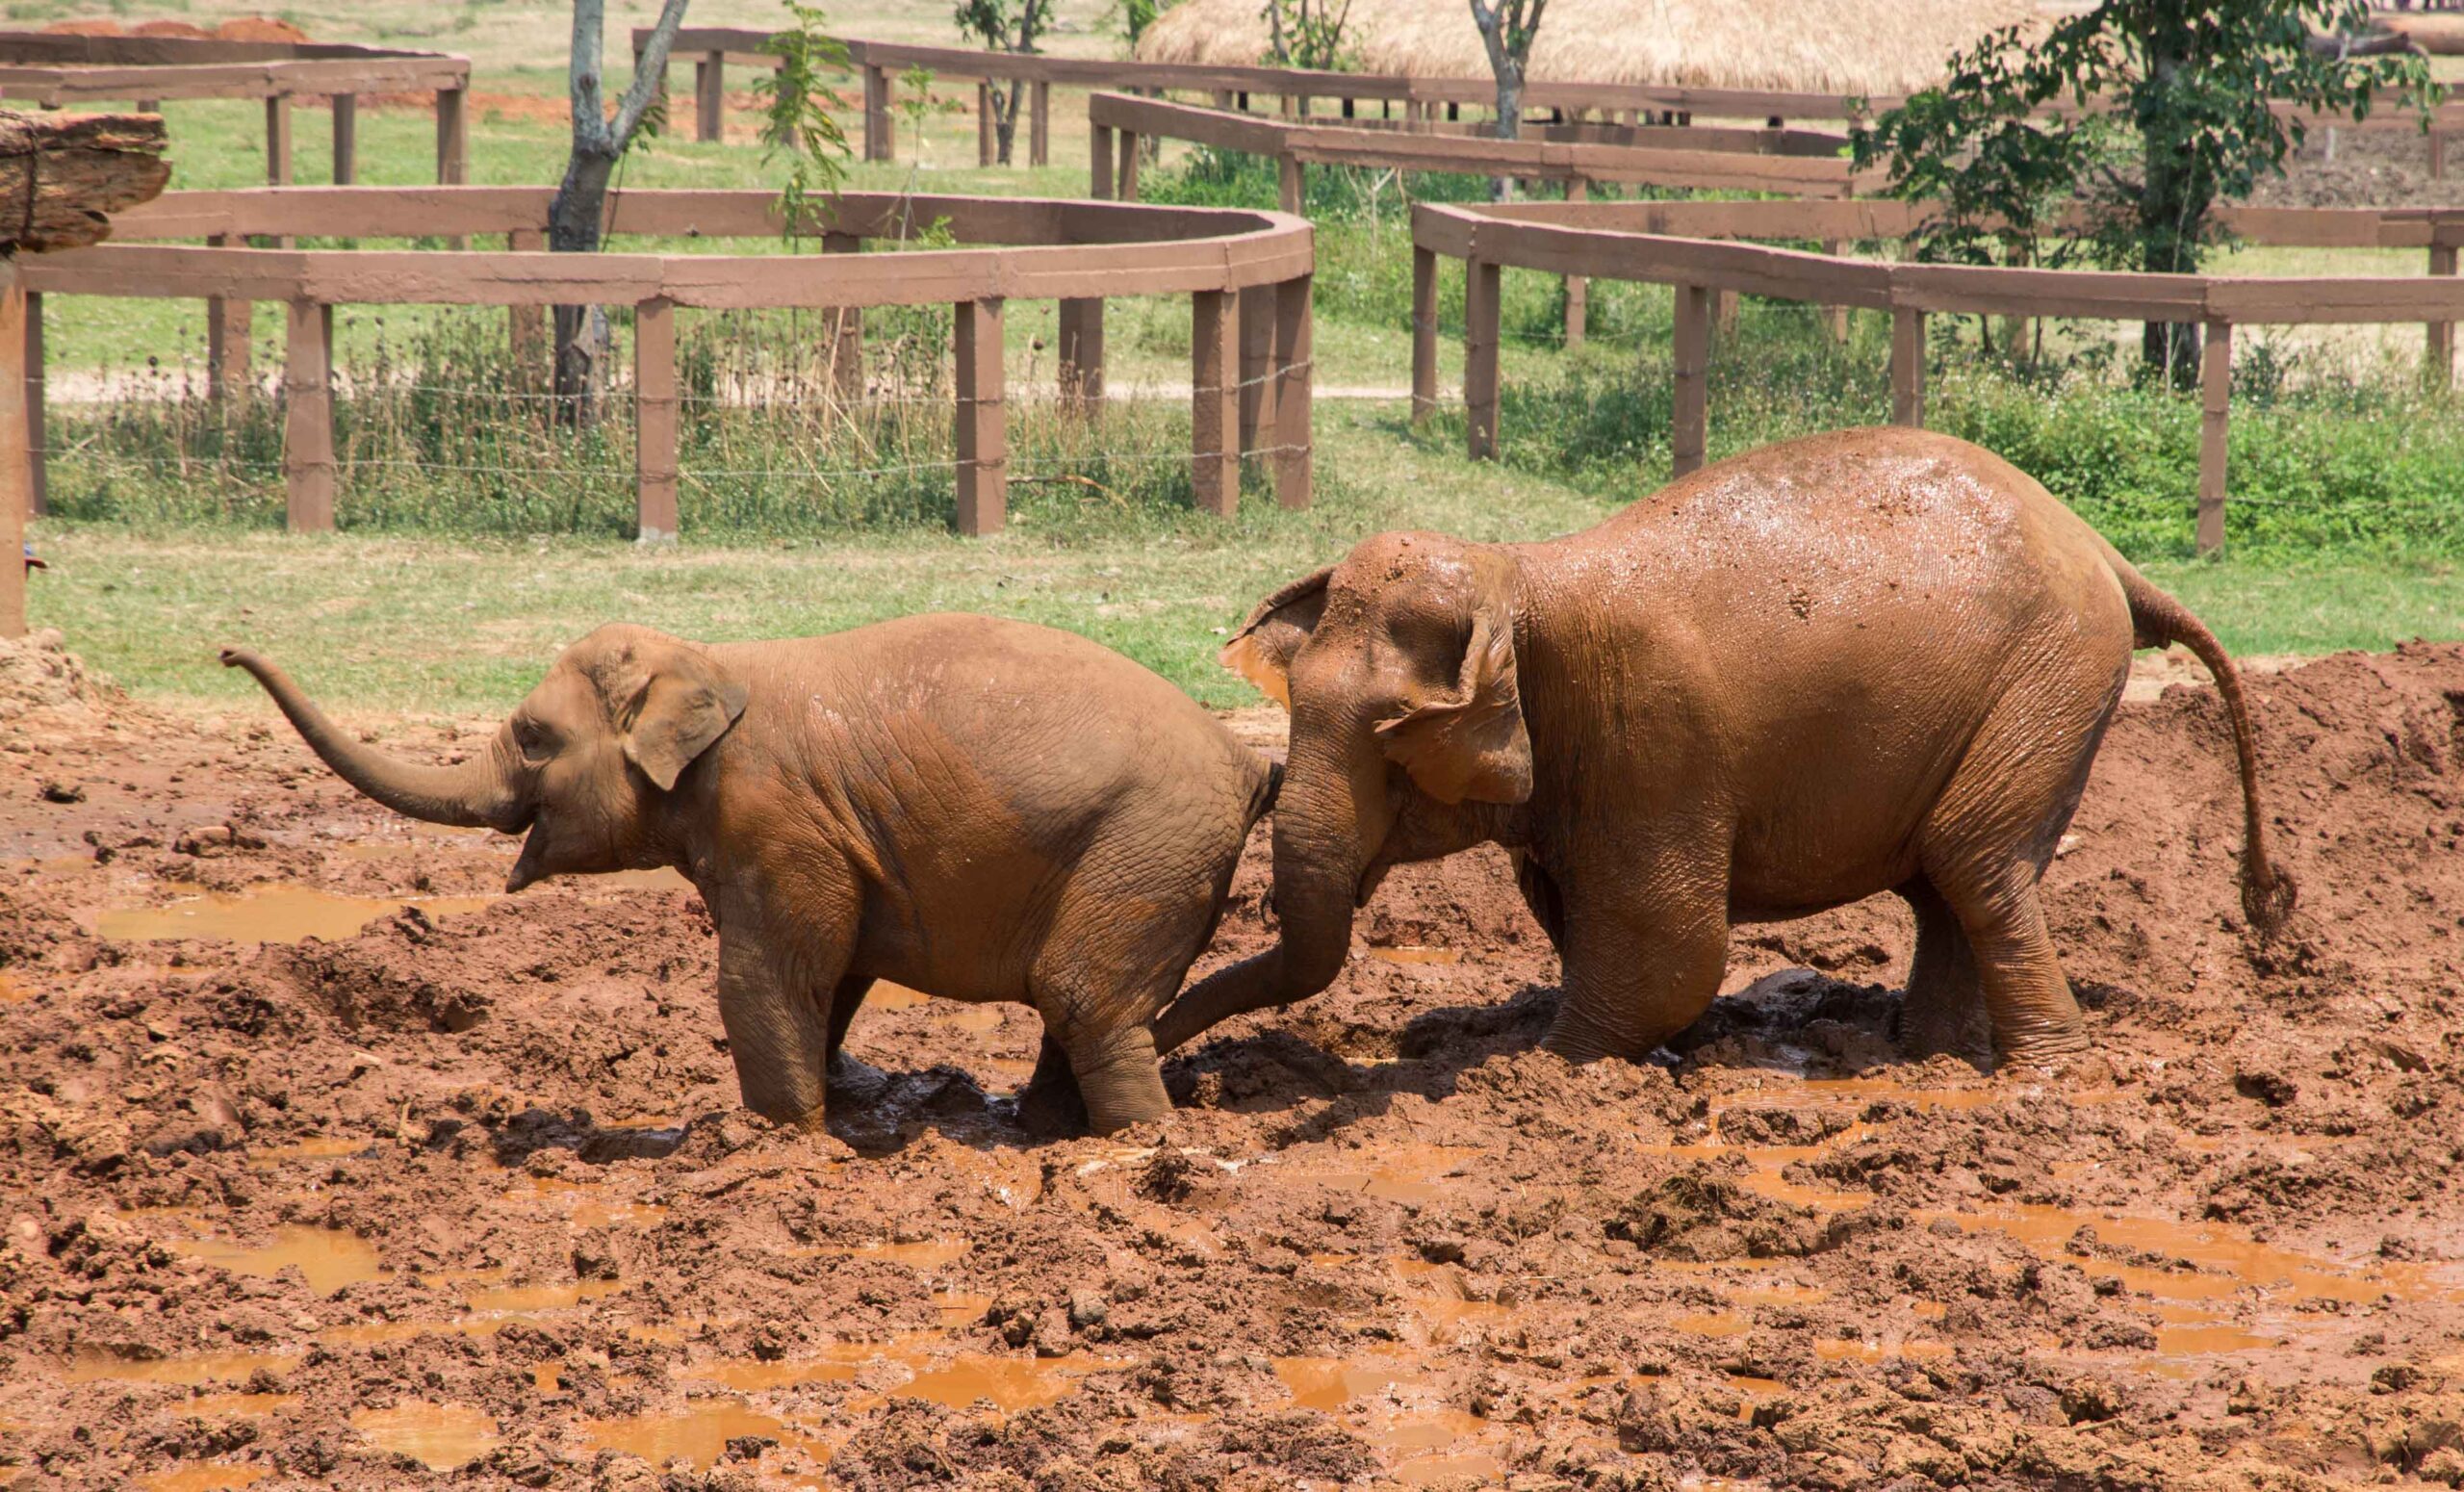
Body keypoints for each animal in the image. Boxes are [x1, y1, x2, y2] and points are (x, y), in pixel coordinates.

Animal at [222, 615, 1279, 1135]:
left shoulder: (772, 822)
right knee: (1086, 1008)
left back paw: (1137, 1147)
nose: (228, 647)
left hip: (1144, 846)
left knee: (1085, 999)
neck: (707, 663)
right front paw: (827, 1109)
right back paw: (1046, 1133)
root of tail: (1245, 764)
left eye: (531, 736)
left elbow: (765, 977)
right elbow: (833, 975)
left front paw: (781, 1138)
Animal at [1153, 426, 2294, 1069]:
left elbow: (1670, 949)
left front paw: (1536, 1073)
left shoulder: (1652, 736)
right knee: (1947, 878)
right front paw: (1662, 1056)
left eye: (1393, 738)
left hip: (2050, 681)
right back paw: (1925, 1057)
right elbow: (1578, 919)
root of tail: (2107, 551)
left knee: (1976, 860)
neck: (1520, 573)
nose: (1161, 1051)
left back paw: (2043, 1075)